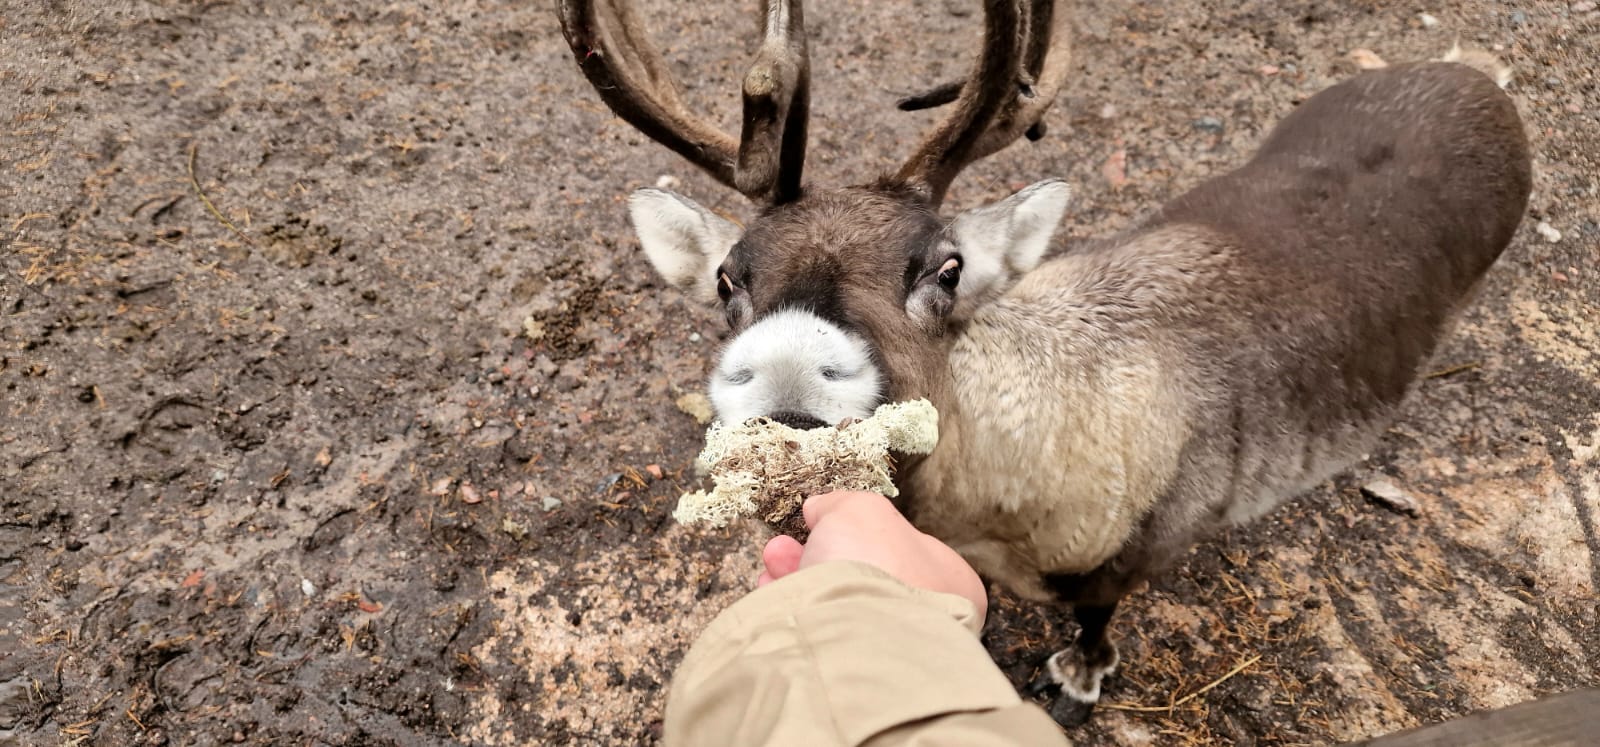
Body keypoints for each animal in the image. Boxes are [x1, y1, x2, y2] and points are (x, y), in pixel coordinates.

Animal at [558, 0, 1531, 727]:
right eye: (730, 277)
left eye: (946, 267)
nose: (788, 381)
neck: (997, 507)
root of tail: (1472, 74)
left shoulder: (1148, 543)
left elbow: (1097, 615)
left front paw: (1079, 677)